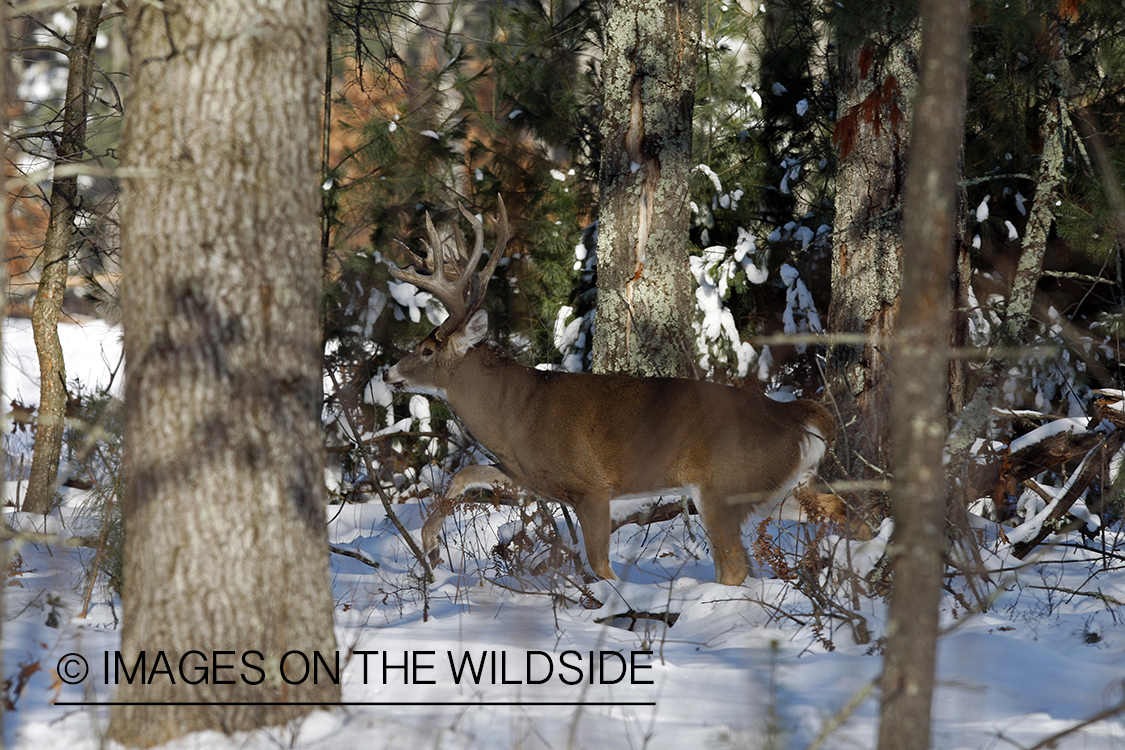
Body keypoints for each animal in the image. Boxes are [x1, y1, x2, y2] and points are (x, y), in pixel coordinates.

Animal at [387, 202, 837, 589]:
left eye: (426, 351)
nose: (390, 373)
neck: (516, 412)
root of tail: (799, 415)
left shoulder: (591, 485)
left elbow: (600, 564)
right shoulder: (532, 476)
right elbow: (466, 473)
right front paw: (430, 545)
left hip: (725, 487)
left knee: (735, 568)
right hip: (782, 488)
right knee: (841, 512)